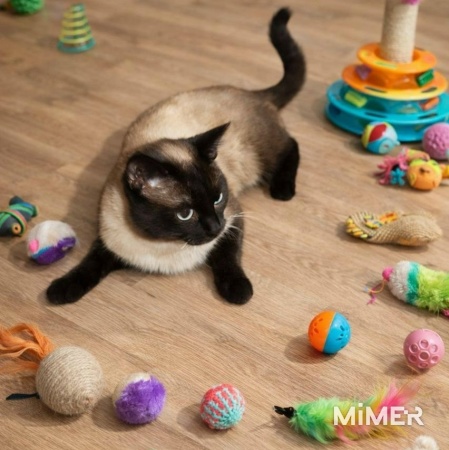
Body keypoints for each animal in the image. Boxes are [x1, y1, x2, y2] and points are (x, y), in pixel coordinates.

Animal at [47, 7, 306, 306]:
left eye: (218, 198)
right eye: (185, 214)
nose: (215, 226)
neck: (164, 246)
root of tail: (250, 92)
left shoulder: (234, 218)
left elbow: (228, 258)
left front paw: (239, 291)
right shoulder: (109, 246)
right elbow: (90, 264)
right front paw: (60, 290)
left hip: (261, 156)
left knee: (292, 145)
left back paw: (283, 190)